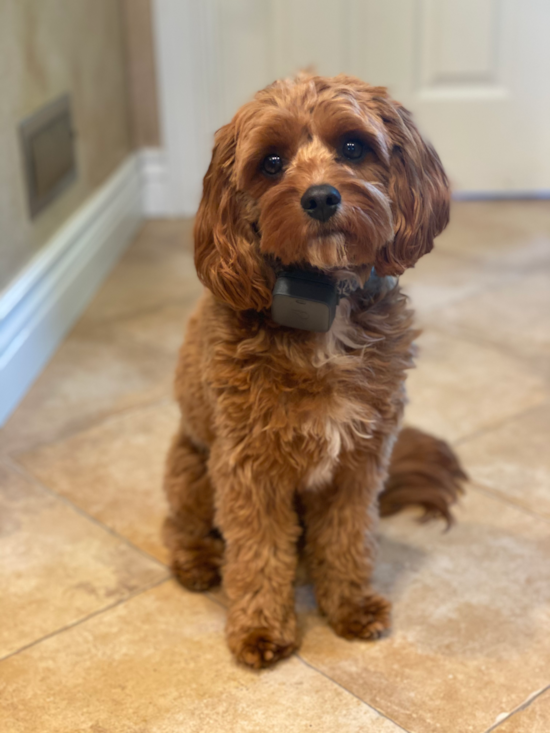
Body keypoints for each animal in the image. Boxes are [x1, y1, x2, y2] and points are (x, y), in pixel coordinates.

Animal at [162, 74, 468, 668]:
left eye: (353, 146)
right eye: (272, 162)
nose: (322, 197)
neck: (324, 303)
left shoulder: (359, 460)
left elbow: (347, 537)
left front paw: (348, 605)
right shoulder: (247, 466)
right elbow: (258, 552)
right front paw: (261, 628)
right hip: (189, 465)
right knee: (181, 526)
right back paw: (198, 561)